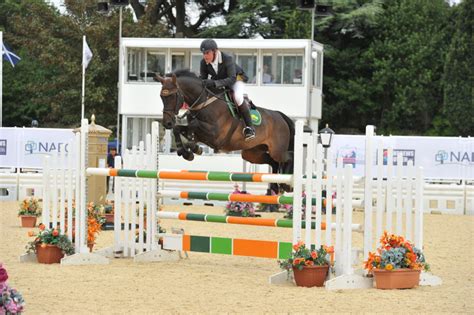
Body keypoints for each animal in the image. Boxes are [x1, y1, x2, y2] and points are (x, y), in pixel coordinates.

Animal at [157, 69, 294, 193]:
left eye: (173, 96)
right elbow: (179, 129)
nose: (167, 123)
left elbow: (193, 125)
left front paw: (191, 149)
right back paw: (276, 186)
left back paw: (287, 185)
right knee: (273, 162)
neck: (204, 103)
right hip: (252, 153)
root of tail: (280, 115)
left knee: (289, 157)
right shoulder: (202, 135)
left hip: (277, 150)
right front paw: (187, 151)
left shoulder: (215, 135)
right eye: (161, 97)